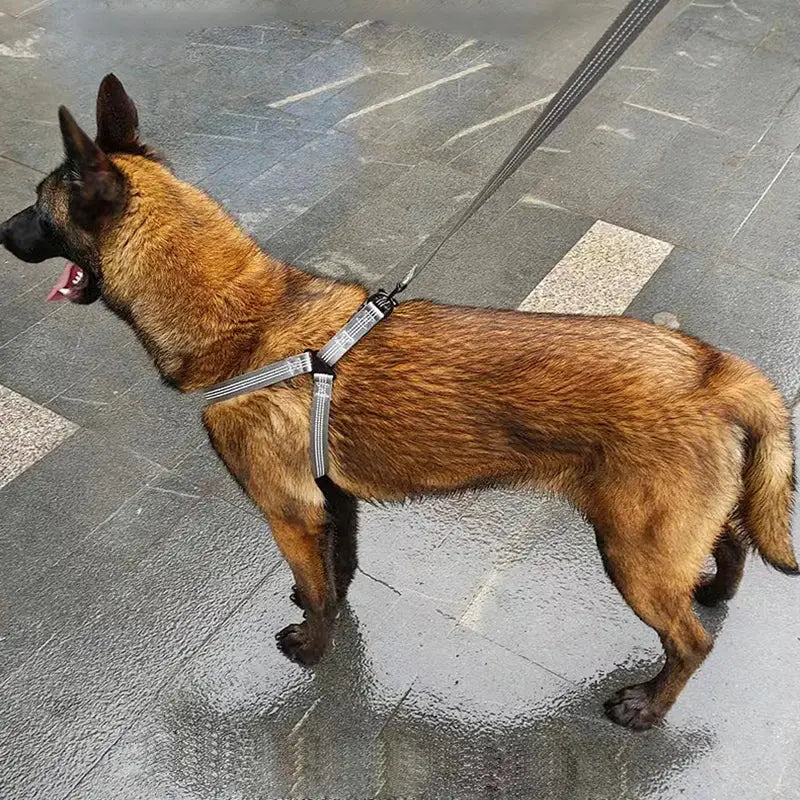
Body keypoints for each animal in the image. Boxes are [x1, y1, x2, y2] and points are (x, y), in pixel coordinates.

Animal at [0, 76, 792, 732]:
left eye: (39, 208)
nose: (1, 230)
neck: (245, 320)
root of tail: (712, 368)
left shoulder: (289, 509)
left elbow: (318, 587)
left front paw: (312, 650)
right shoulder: (330, 498)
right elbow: (337, 569)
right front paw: (326, 609)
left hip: (632, 552)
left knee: (690, 642)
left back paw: (650, 705)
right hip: (664, 534)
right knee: (730, 544)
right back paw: (715, 590)